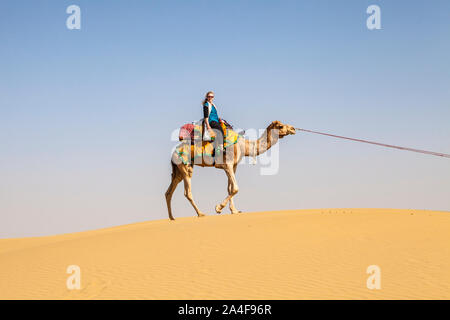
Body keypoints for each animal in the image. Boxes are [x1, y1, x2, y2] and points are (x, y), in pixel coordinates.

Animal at [164, 120, 296, 220]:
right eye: (280, 126)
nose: (293, 128)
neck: (243, 146)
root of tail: (174, 152)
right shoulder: (227, 164)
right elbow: (236, 188)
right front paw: (218, 208)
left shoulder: (233, 166)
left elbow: (230, 188)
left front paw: (234, 210)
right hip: (185, 166)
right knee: (187, 192)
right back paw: (200, 213)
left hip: (178, 170)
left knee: (169, 192)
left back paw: (172, 218)